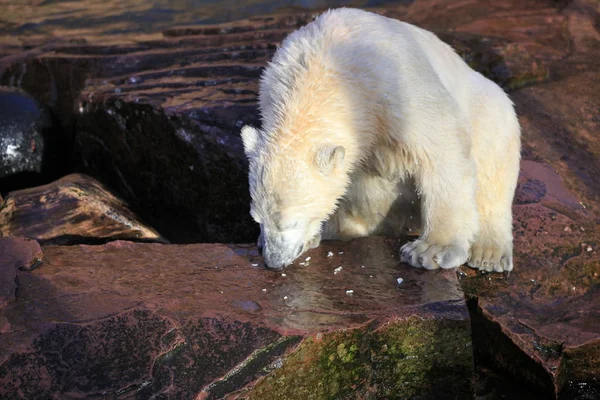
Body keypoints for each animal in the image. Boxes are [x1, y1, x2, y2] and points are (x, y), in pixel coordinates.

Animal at [239, 8, 520, 272]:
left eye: (291, 222)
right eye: (257, 219)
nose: (273, 261)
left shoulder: (395, 87)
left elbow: (441, 145)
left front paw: (431, 250)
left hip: (487, 107)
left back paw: (489, 253)